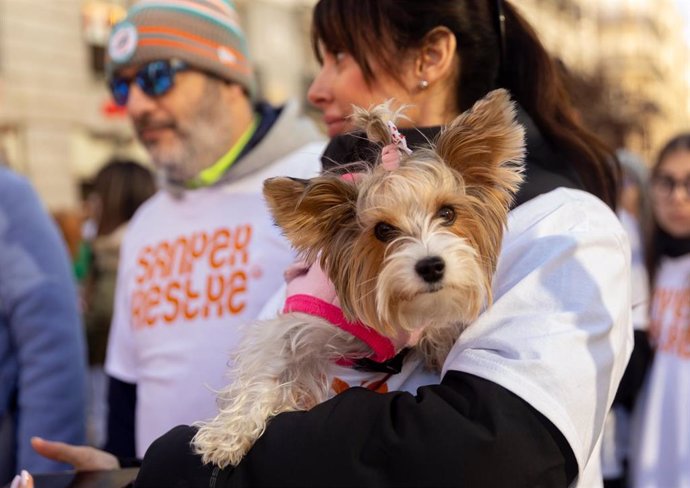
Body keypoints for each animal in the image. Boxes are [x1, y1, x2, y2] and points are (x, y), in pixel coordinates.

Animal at [191, 89, 524, 468]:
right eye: (382, 230)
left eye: (448, 213)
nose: (431, 266)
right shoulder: (299, 321)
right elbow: (268, 365)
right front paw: (228, 435)